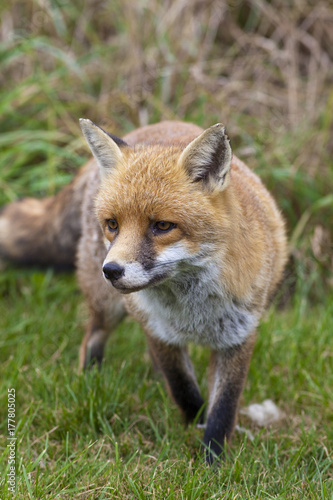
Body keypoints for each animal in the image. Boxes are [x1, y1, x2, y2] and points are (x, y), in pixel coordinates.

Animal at [0, 119, 286, 462]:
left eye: (162, 226)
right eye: (113, 224)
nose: (111, 271)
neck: (192, 310)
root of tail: (148, 128)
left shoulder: (238, 336)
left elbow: (223, 408)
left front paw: (214, 460)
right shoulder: (159, 330)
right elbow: (184, 388)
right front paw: (194, 424)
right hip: (108, 307)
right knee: (92, 337)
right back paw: (90, 382)